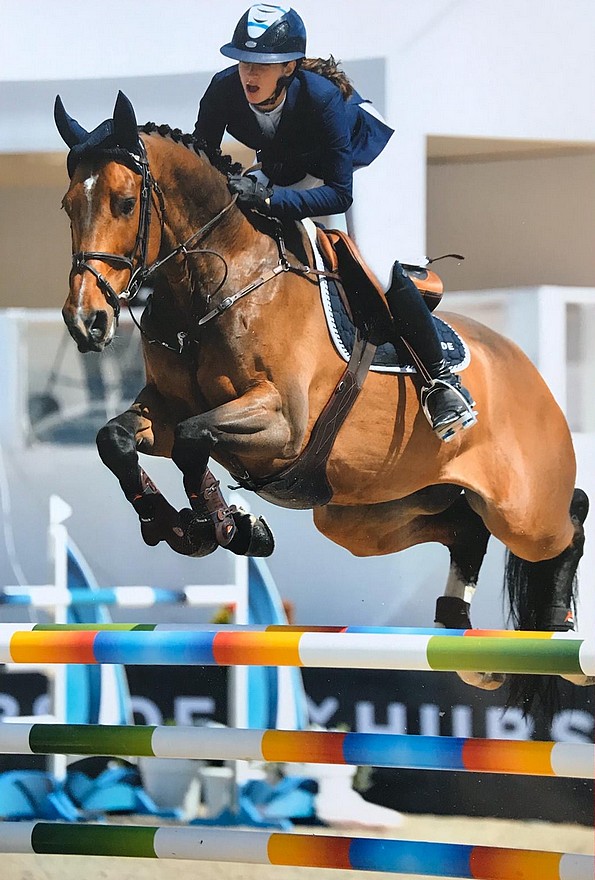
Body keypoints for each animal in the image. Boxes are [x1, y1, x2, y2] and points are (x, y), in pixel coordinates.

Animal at [54, 91, 592, 708]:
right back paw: (462, 639)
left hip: (522, 510)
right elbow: (116, 439)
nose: (87, 321)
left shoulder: (282, 424)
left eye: (123, 203)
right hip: (366, 514)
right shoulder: (164, 412)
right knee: (464, 526)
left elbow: (195, 440)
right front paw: (182, 526)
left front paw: (224, 526)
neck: (213, 285)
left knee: (569, 519)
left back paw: (560, 632)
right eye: (67, 207)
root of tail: (527, 369)